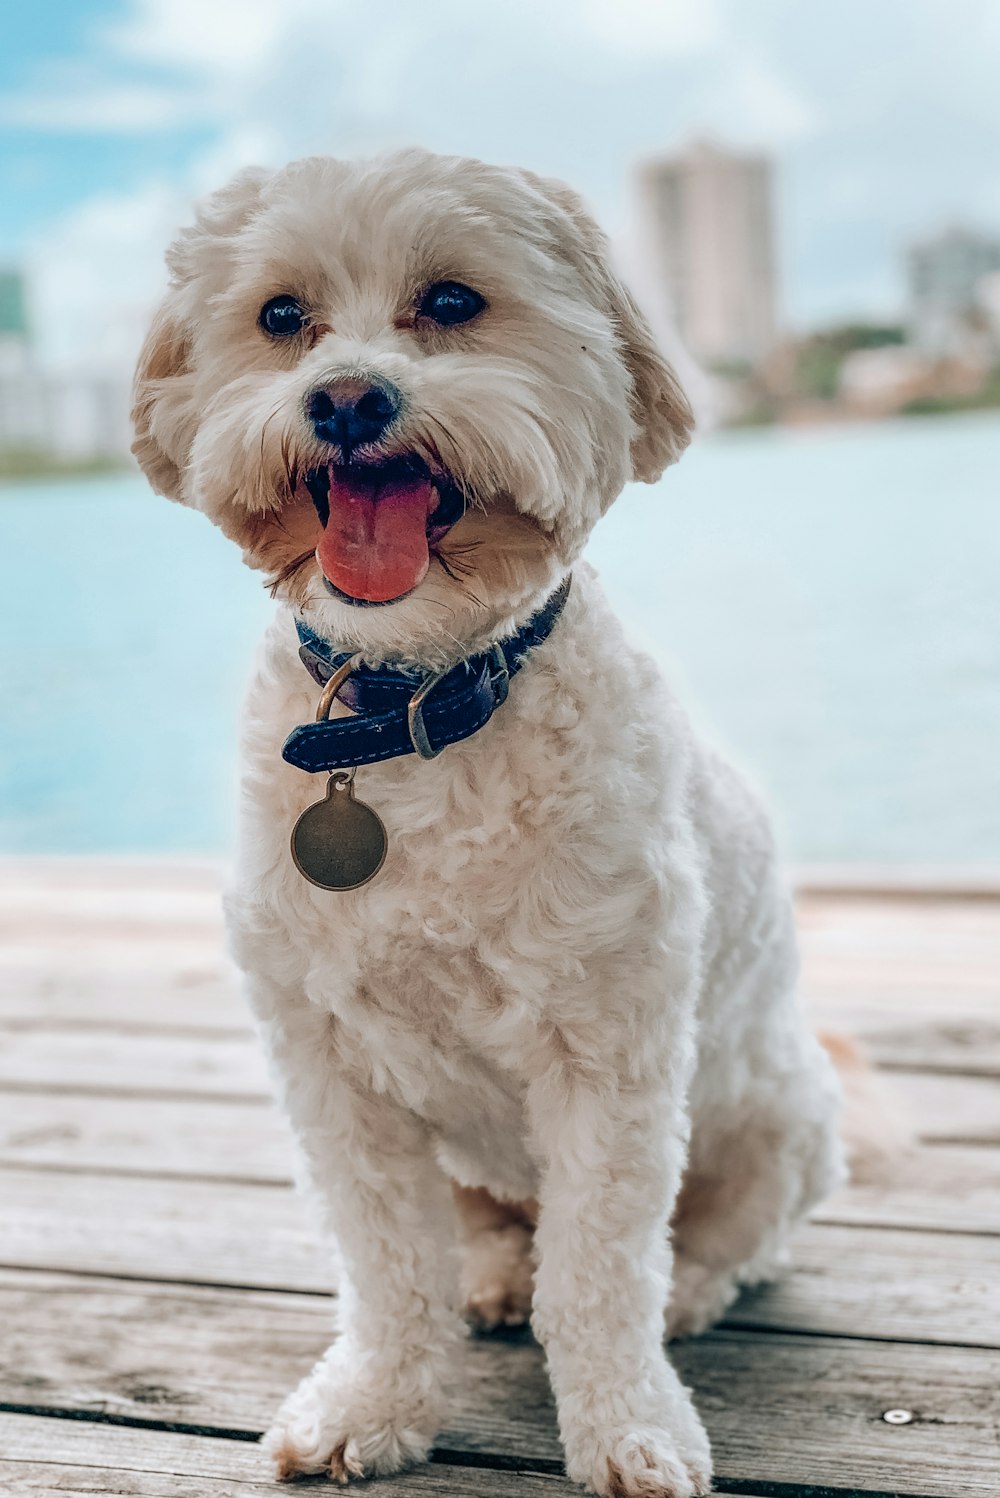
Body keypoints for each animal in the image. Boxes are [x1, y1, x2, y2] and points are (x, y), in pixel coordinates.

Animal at [132, 155, 850, 1498]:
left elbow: (604, 1265)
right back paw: (493, 1274)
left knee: (717, 1242)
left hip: (782, 1112)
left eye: (454, 302)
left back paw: (685, 1293)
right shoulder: (329, 1063)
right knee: (485, 1236)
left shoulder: (609, 1054)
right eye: (280, 317)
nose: (347, 398)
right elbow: (385, 1262)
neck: (411, 705)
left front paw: (628, 1424)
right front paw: (373, 1399)